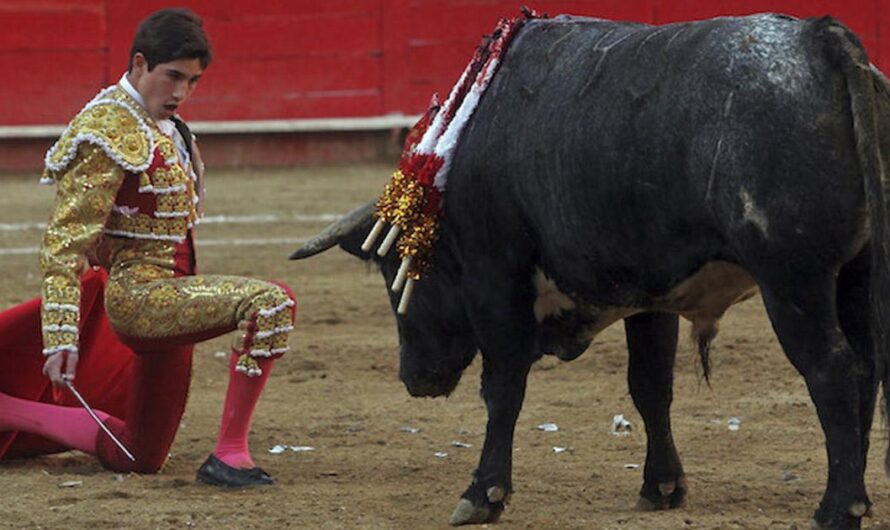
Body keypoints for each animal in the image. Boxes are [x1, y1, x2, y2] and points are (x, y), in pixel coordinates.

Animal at [292, 13, 888, 528]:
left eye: (396, 268)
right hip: (853, 276)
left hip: (793, 281)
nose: (413, 378)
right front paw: (661, 487)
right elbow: (650, 385)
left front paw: (482, 494)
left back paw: (838, 509)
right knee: (864, 370)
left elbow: (502, 385)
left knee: (832, 370)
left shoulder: (495, 275)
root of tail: (820, 37)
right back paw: (855, 496)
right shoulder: (651, 292)